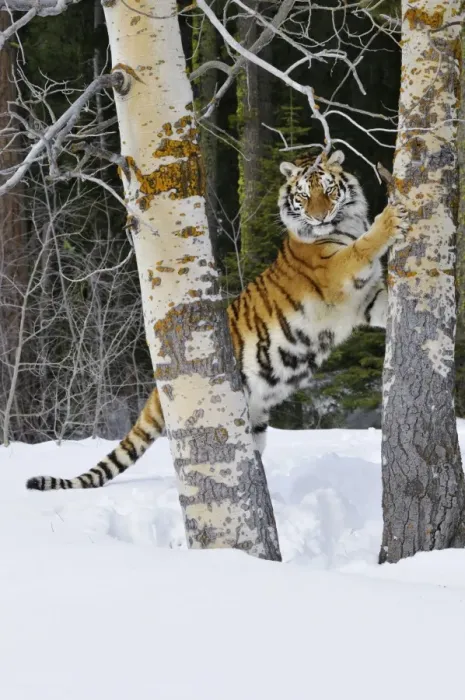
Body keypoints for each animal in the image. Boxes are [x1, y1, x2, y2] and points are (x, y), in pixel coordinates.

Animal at [26, 149, 406, 491]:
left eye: (328, 190)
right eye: (303, 196)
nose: (320, 216)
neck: (345, 223)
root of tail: (156, 391)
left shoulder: (364, 300)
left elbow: (384, 300)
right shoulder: (336, 271)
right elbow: (363, 246)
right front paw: (391, 216)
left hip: (255, 421)